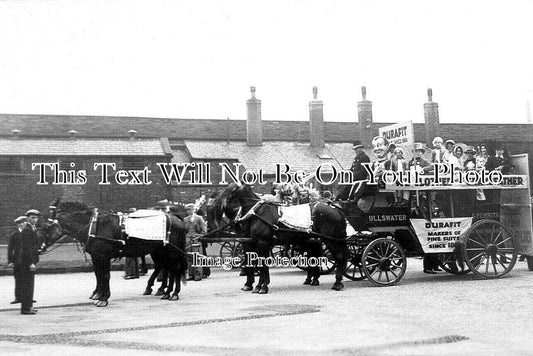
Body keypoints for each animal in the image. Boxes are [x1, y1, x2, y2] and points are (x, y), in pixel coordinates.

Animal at [43, 202, 189, 308]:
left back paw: (173, 293)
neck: (94, 225)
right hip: (160, 251)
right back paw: (164, 291)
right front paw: (98, 294)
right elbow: (98, 275)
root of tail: (176, 218)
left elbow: (105, 275)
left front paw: (103, 298)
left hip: (170, 251)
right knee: (166, 268)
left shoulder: (103, 256)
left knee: (174, 269)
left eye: (46, 226)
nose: (41, 247)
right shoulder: (96, 256)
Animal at [212, 182, 350, 294]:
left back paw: (337, 283)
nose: (214, 207)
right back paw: (316, 280)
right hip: (315, 241)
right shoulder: (252, 243)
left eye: (230, 192)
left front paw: (262, 286)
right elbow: (255, 262)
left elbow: (262, 264)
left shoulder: (262, 242)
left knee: (339, 257)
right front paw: (254, 285)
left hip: (331, 240)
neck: (256, 213)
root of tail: (335, 207)